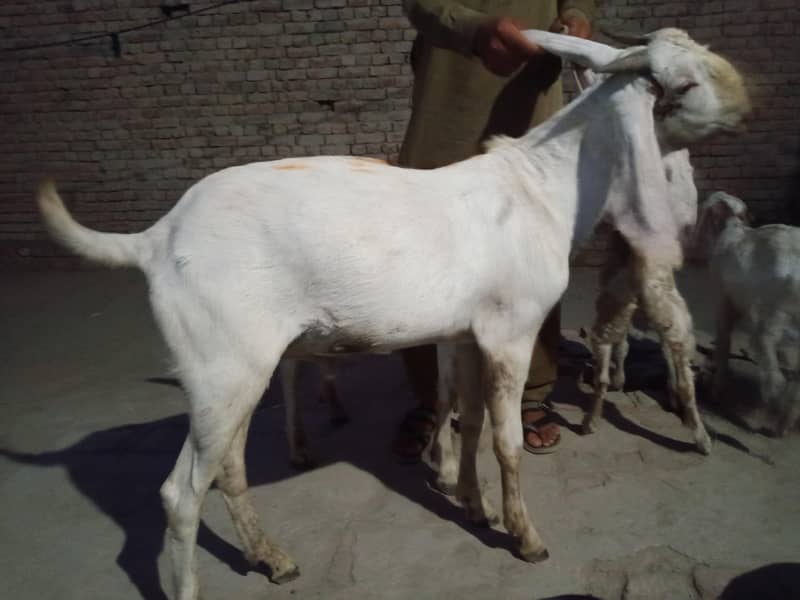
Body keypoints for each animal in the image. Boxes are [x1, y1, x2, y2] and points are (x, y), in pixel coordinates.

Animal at [695, 192, 800, 436]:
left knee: (772, 366)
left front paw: (718, 387)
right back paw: (784, 423)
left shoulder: (725, 298)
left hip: (774, 312)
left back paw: (774, 412)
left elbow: (724, 339)